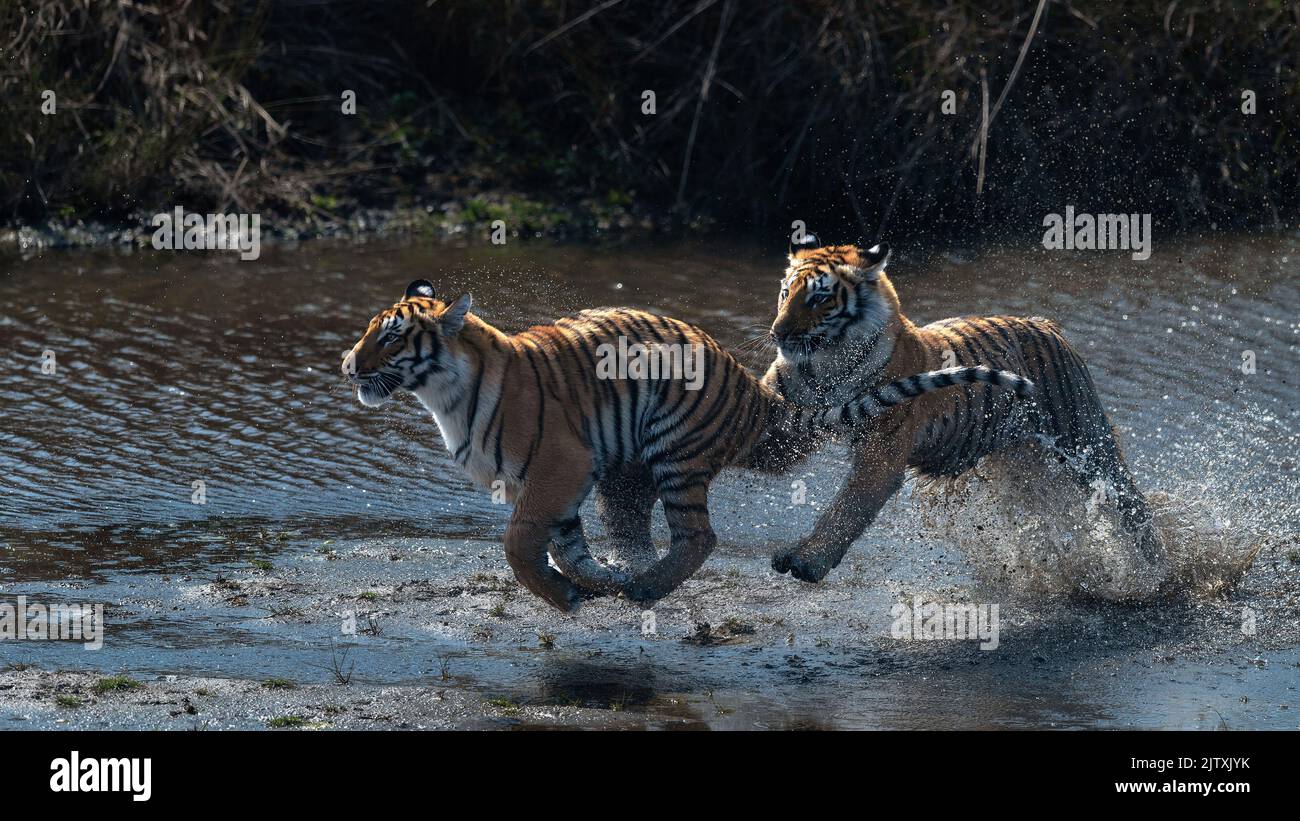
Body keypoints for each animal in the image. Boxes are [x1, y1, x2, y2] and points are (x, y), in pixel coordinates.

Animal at [342, 279, 1036, 611]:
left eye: (391, 336)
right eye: (370, 332)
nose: (348, 364)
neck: (446, 396)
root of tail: (750, 388)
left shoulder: (558, 465)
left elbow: (519, 544)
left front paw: (567, 596)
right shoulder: (550, 483)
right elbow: (567, 546)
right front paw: (589, 584)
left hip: (672, 447)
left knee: (700, 537)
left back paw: (647, 588)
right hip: (630, 469)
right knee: (648, 531)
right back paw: (633, 578)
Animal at [760, 235, 1168, 592]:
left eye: (819, 298)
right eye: (785, 293)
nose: (778, 333)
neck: (823, 368)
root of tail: (1044, 324)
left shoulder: (881, 451)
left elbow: (846, 508)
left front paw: (809, 561)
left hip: (1085, 440)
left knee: (1132, 506)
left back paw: (1160, 573)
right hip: (1022, 464)